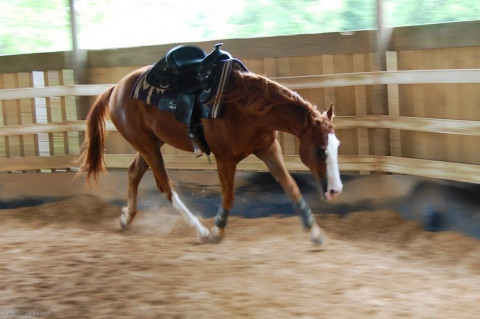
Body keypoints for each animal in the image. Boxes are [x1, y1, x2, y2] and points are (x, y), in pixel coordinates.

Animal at [79, 65, 342, 245]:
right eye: (320, 150)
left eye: (336, 146)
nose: (335, 190)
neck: (247, 106)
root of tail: (116, 89)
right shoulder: (225, 158)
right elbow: (228, 196)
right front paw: (217, 229)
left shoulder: (268, 148)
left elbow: (290, 186)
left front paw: (314, 231)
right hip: (146, 145)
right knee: (165, 186)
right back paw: (202, 231)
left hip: (151, 143)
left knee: (134, 173)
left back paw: (127, 218)